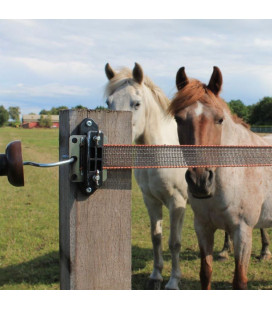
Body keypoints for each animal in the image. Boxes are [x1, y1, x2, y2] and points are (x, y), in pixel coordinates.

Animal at [169, 66, 272, 290]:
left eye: (220, 119)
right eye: (178, 119)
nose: (200, 181)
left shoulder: (243, 232)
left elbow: (239, 281)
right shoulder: (203, 228)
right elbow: (205, 273)